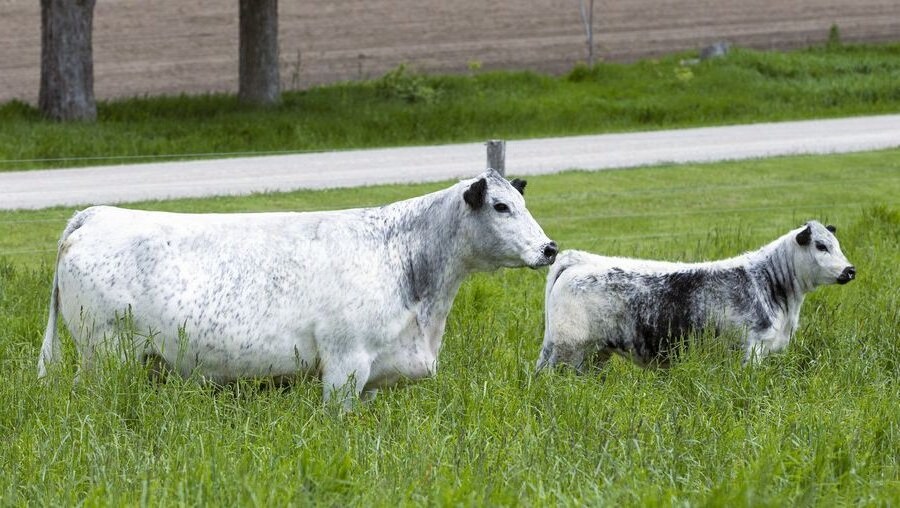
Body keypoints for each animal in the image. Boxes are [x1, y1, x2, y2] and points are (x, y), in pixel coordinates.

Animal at [37, 169, 558, 408]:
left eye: (521, 201)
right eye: (501, 206)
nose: (550, 248)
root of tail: (98, 214)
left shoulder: (372, 375)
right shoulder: (345, 363)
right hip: (107, 354)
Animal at [536, 221, 855, 373]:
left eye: (837, 244)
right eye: (821, 246)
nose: (850, 270)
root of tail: (579, 260)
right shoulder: (751, 348)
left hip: (592, 353)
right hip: (568, 349)